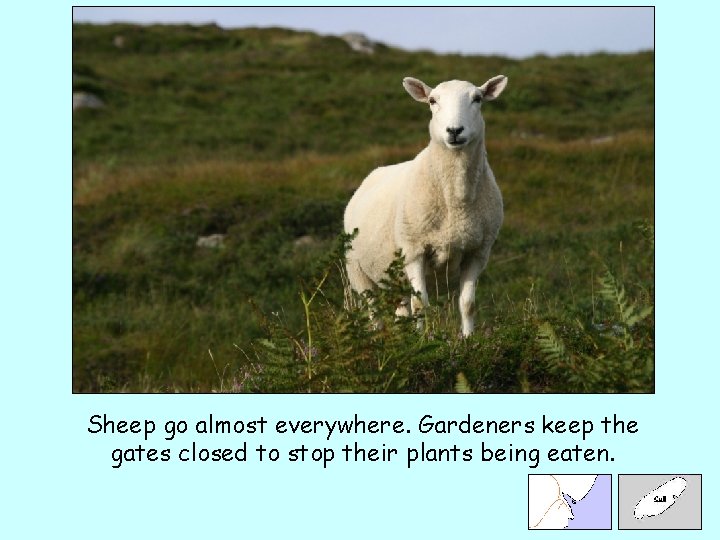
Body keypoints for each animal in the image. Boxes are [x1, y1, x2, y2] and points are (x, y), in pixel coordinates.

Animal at [343, 75, 507, 336]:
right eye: (432, 101)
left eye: (478, 98)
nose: (454, 130)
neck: (456, 201)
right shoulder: (414, 251)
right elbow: (421, 304)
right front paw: (423, 341)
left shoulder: (477, 253)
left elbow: (468, 304)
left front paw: (469, 339)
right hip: (358, 272)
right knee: (374, 311)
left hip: (395, 277)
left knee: (401, 309)